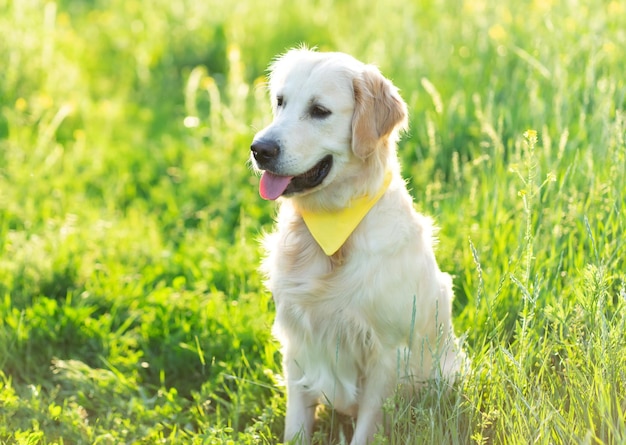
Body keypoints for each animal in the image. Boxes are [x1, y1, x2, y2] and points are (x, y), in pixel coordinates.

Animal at [249, 48, 464, 444]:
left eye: (319, 110)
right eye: (280, 102)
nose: (259, 149)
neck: (330, 229)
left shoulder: (387, 354)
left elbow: (366, 429)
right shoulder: (298, 345)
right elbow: (296, 425)